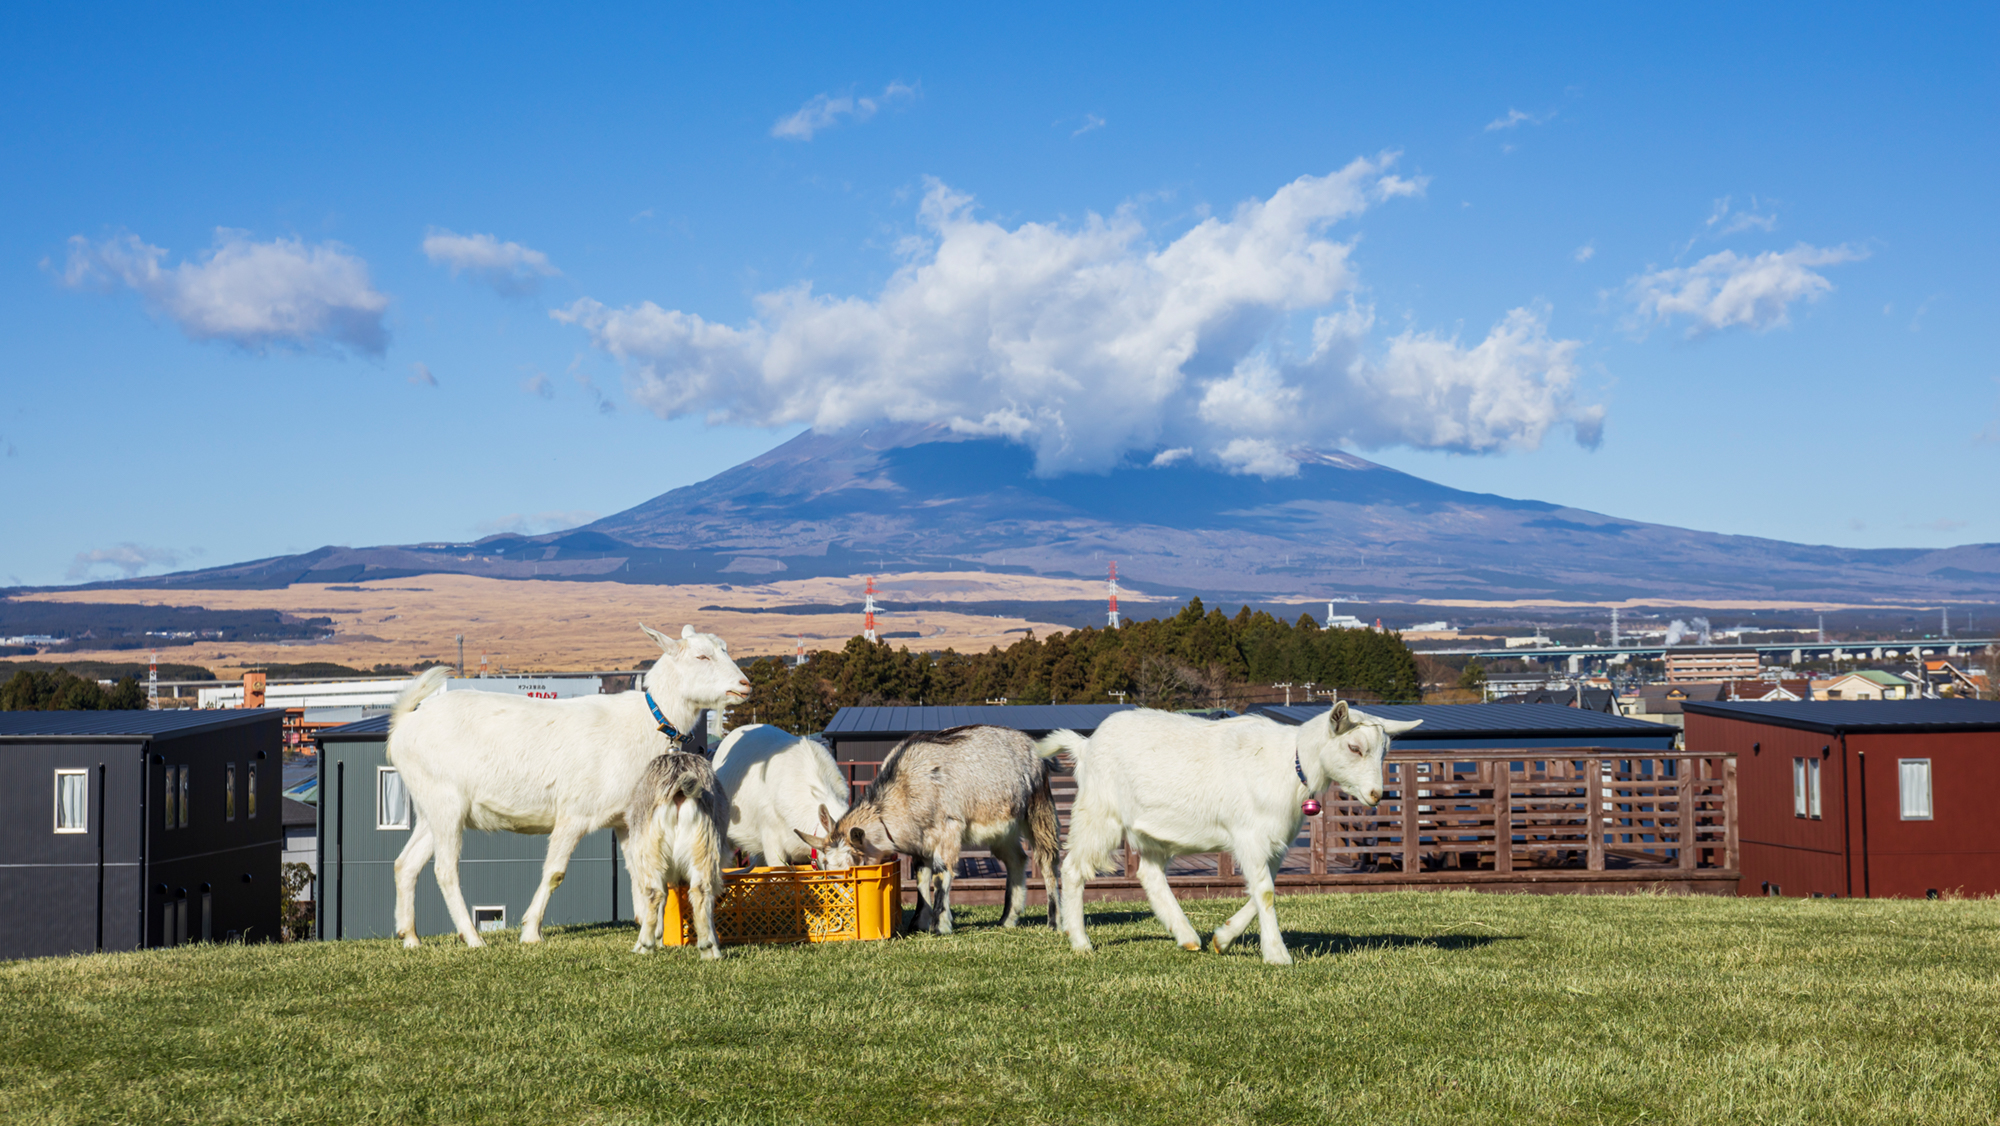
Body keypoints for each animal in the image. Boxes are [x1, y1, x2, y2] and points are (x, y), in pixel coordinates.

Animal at [620, 752, 732, 956]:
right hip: (705, 847)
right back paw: (709, 949)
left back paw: (644, 945)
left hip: (648, 851)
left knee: (654, 894)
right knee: (701, 891)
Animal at [800, 732, 1080, 936]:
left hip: (1038, 808)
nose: (840, 905)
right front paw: (919, 923)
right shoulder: (920, 842)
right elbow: (921, 879)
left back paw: (1054, 922)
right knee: (1016, 860)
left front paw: (939, 925)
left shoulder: (948, 829)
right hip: (1003, 829)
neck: (905, 789)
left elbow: (941, 874)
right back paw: (1008, 919)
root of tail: (1037, 752)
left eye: (853, 864)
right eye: (823, 865)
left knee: (1047, 860)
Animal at [1048, 700, 1424, 964]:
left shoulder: (1275, 842)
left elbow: (1262, 892)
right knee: (1073, 869)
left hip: (1152, 830)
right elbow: (1266, 893)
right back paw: (1080, 942)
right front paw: (1277, 954)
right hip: (1100, 812)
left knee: (1149, 874)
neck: (1290, 764)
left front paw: (1223, 939)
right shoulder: (1250, 835)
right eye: (1354, 747)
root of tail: (1085, 745)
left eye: (1385, 751)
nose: (1375, 795)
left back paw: (1187, 936)